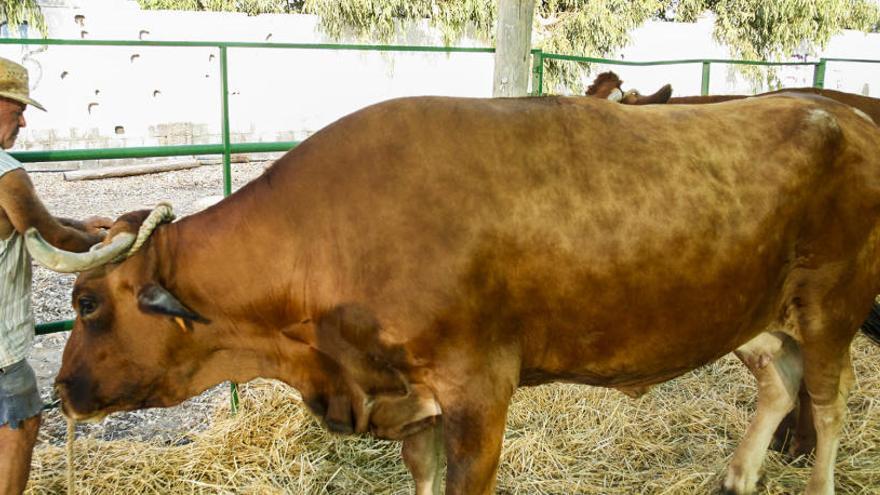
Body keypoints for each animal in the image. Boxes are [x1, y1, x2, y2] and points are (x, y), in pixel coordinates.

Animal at [31, 95, 880, 494]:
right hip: (757, 317)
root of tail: (839, 108)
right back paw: (737, 473)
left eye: (86, 304)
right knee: (781, 382)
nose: (61, 390)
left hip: (832, 307)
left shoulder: (480, 393)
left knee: (831, 402)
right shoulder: (414, 401)